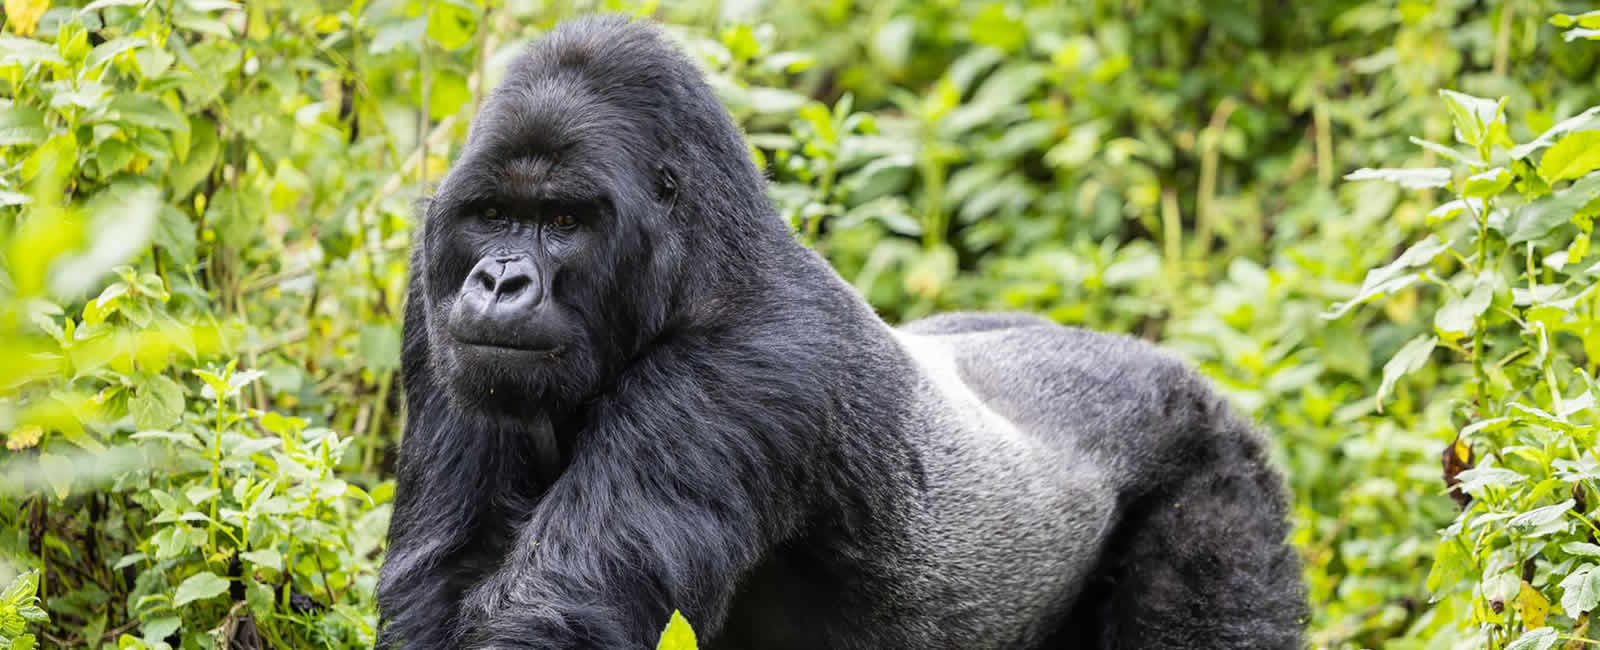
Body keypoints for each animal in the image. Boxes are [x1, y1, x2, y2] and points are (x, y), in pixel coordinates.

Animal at [380, 15, 1305, 650]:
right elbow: (437, 581)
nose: (500, 282)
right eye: (494, 215)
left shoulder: (748, 370)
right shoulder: (432, 305)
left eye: (563, 222)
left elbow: (560, 614)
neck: (701, 263)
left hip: (1226, 469)